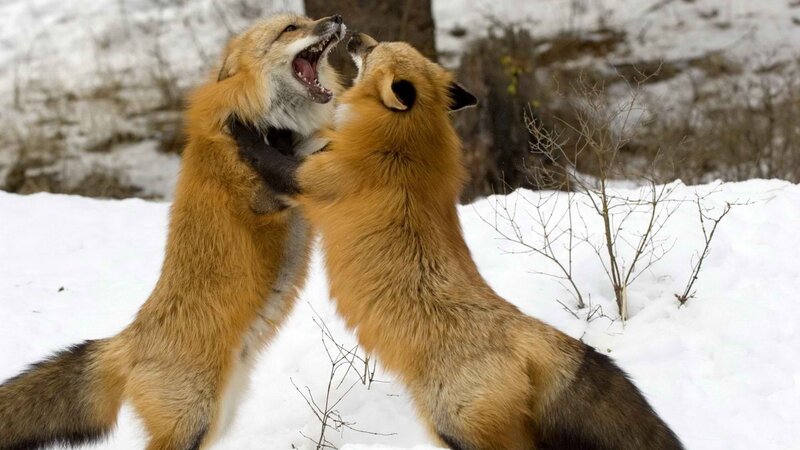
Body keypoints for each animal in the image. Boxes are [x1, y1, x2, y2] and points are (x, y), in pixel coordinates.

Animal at [0, 13, 345, 450]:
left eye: (305, 21)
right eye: (290, 30)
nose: (336, 18)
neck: (260, 120)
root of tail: (127, 341)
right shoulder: (265, 198)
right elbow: (302, 159)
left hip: (216, 421)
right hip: (192, 421)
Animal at [232, 33, 685, 450]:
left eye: (374, 49)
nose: (354, 35)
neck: (404, 146)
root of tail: (529, 332)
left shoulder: (313, 180)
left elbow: (266, 156)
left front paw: (242, 126)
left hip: (455, 427)